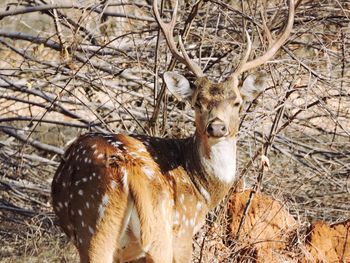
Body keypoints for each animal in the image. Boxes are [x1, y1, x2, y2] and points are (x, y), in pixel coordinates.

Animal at [50, 1, 294, 262]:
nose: (216, 126)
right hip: (149, 227)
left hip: (94, 227)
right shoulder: (185, 226)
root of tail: (127, 169)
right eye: (197, 102)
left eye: (237, 102)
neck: (204, 190)